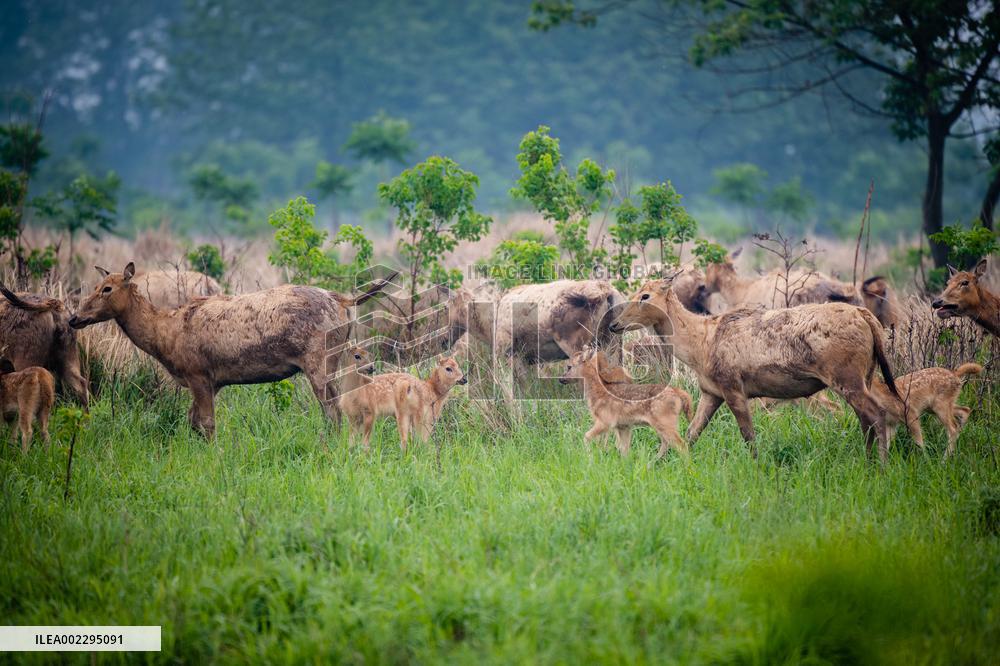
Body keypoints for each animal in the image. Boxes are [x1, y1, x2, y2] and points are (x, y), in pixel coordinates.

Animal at [67, 263, 392, 437]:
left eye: (107, 288)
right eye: (96, 285)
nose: (75, 317)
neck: (165, 337)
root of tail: (344, 300)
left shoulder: (198, 372)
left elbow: (208, 424)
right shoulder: (212, 382)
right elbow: (193, 422)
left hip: (320, 359)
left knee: (332, 407)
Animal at [560, 348, 692, 461]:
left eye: (569, 366)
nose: (560, 379)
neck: (597, 392)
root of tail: (677, 392)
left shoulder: (605, 421)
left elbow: (586, 436)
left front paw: (589, 458)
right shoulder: (623, 426)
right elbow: (624, 450)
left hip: (665, 421)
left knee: (681, 445)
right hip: (663, 424)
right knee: (666, 444)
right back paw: (650, 464)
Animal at [609, 277, 899, 461]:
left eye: (645, 296)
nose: (614, 324)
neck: (699, 346)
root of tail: (867, 317)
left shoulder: (733, 386)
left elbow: (748, 435)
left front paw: (757, 467)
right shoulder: (711, 392)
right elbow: (690, 433)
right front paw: (659, 464)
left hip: (845, 376)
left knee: (876, 413)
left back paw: (881, 467)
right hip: (865, 375)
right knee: (866, 419)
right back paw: (868, 460)